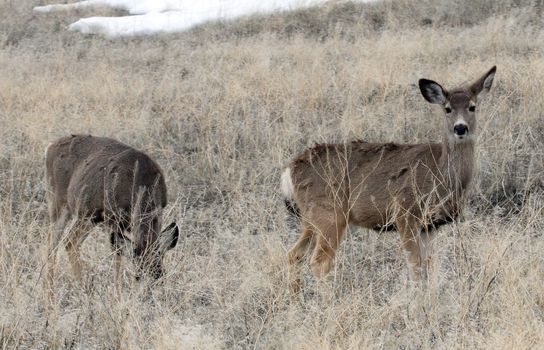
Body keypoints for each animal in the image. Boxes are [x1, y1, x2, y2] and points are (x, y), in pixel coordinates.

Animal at [45, 134, 180, 296]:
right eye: (137, 276)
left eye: (161, 275)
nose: (148, 297)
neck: (141, 180)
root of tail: (50, 147)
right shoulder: (113, 218)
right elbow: (117, 257)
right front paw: (118, 294)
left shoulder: (159, 213)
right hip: (59, 203)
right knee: (53, 244)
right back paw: (53, 294)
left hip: (89, 216)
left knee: (70, 242)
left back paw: (83, 288)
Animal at [282, 67, 496, 292]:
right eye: (447, 109)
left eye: (472, 107)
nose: (460, 128)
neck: (440, 173)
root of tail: (290, 169)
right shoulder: (405, 213)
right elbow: (416, 266)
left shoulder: (429, 226)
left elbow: (429, 266)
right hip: (330, 213)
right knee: (319, 261)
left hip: (311, 218)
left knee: (294, 255)